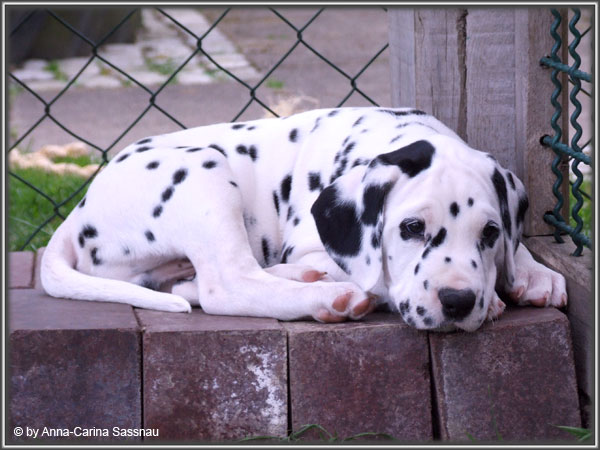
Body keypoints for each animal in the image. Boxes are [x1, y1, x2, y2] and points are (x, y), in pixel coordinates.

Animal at [41, 107, 567, 332]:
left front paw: (532, 274)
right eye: (412, 229)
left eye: (490, 233)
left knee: (192, 283)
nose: (458, 301)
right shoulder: (315, 243)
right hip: (202, 172)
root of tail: (80, 210)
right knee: (226, 284)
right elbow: (372, 272)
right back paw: (327, 296)